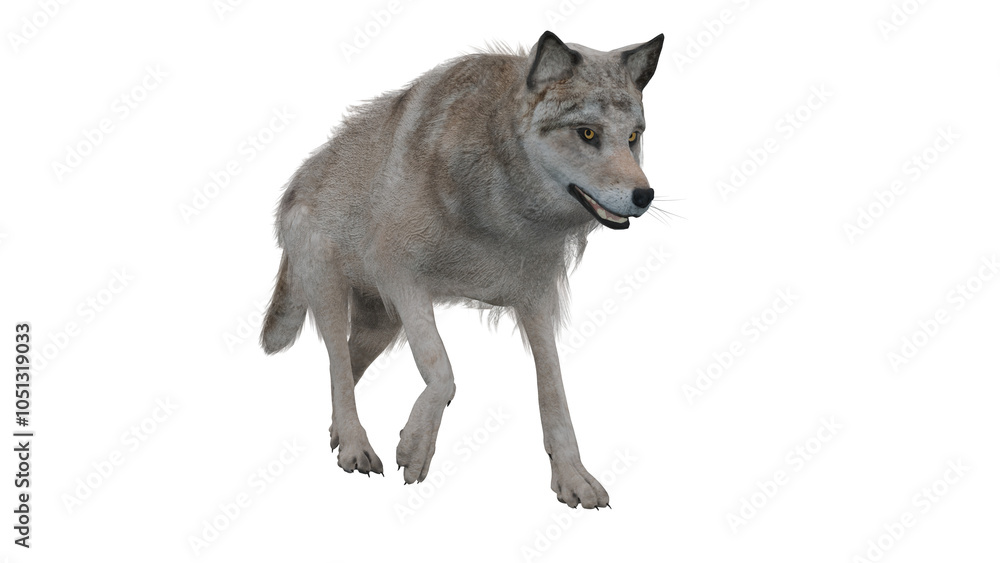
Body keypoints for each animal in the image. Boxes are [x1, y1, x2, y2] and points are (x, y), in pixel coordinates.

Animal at [260, 31, 663, 508]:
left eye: (633, 137)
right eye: (588, 133)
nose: (645, 196)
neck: (501, 203)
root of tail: (296, 180)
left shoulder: (535, 298)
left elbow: (555, 393)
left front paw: (573, 478)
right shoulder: (401, 276)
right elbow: (443, 373)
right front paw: (414, 448)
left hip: (382, 325)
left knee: (339, 367)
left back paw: (341, 434)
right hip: (332, 294)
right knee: (338, 363)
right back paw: (356, 446)